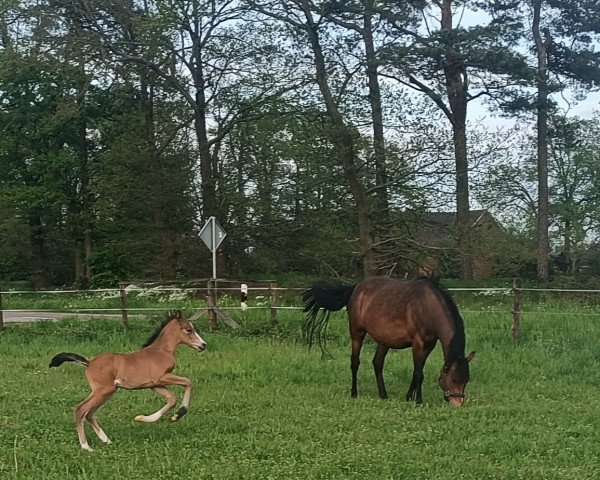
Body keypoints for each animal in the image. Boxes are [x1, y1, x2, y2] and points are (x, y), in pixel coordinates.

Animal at [48, 310, 206, 452]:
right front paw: (178, 414)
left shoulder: (155, 385)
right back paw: (86, 446)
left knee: (89, 413)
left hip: (107, 392)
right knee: (80, 409)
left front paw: (147, 418)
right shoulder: (162, 377)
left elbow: (172, 399)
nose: (203, 345)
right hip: (104, 390)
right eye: (189, 330)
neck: (161, 351)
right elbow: (188, 382)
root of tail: (89, 362)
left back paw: (106, 440)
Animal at [302, 276, 476, 406]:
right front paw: (418, 400)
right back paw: (354, 393)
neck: (427, 308)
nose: (457, 403)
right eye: (454, 379)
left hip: (384, 341)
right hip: (357, 333)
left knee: (377, 363)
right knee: (355, 362)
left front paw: (409, 397)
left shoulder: (429, 345)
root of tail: (356, 287)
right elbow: (419, 373)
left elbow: (416, 371)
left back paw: (383, 394)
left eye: (467, 380)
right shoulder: (418, 344)